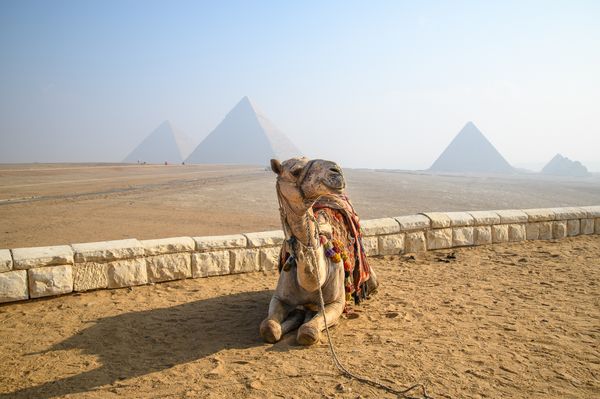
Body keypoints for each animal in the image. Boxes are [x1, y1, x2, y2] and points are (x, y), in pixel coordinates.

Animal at [260, 158, 378, 346]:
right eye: (295, 171)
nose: (336, 171)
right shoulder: (279, 298)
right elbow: (269, 328)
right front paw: (292, 319)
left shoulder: (336, 303)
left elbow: (308, 331)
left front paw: (306, 321)